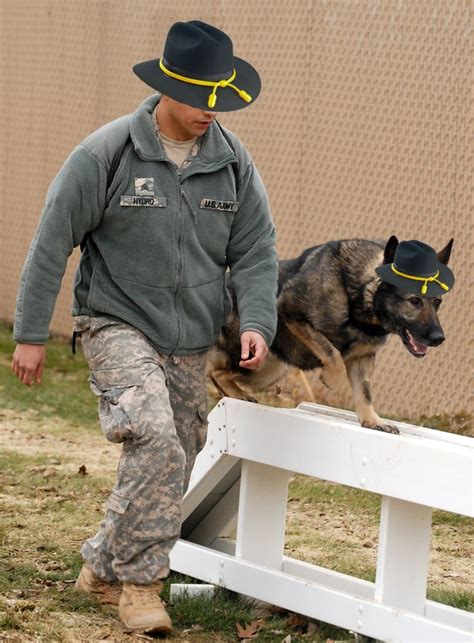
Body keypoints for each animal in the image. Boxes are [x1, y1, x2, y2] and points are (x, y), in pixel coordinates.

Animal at [209, 234, 454, 436]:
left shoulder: (362, 359)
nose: (439, 338)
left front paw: (372, 421)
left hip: (269, 371)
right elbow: (333, 354)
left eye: (437, 302)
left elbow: (365, 392)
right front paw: (330, 378)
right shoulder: (291, 313)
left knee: (222, 374)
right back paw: (237, 393)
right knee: (215, 372)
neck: (359, 300)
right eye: (414, 301)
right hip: (252, 359)